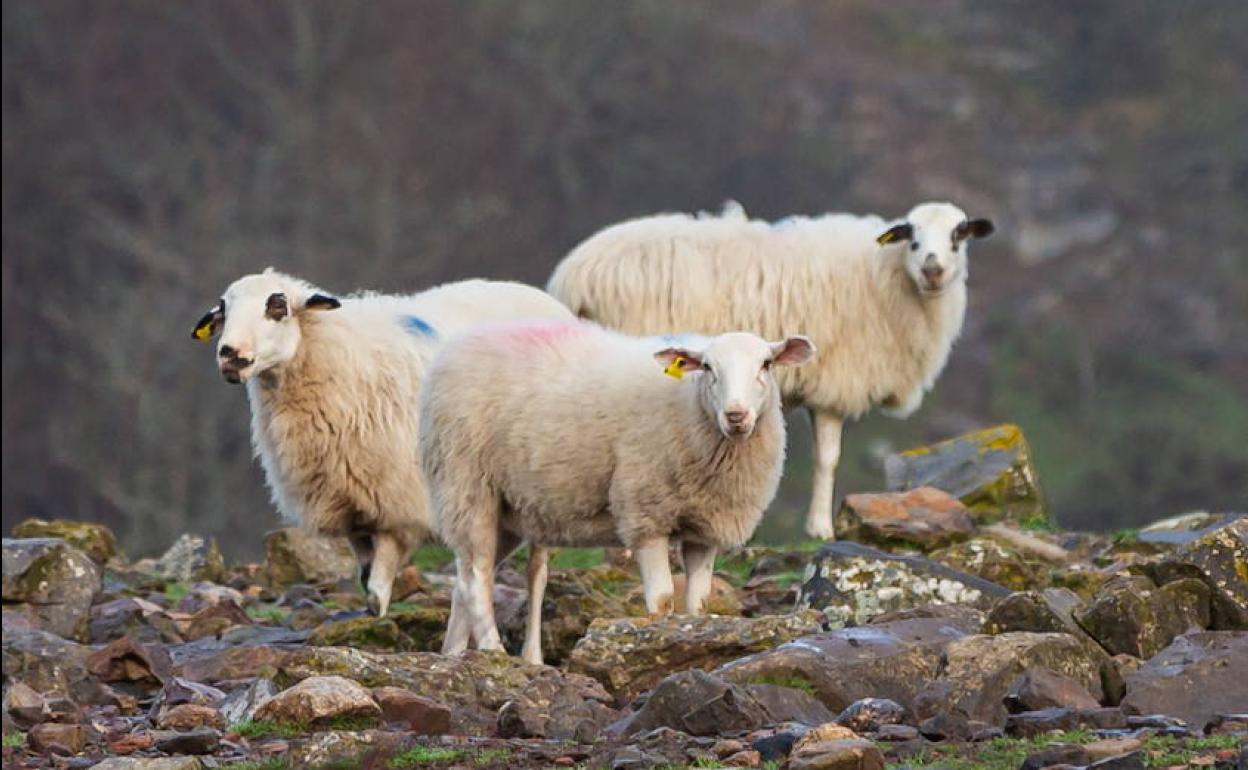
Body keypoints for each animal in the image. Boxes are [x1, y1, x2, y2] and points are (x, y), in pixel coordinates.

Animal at [190, 267, 574, 616]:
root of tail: (545, 298)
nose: (230, 354)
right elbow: (365, 580)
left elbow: (376, 593)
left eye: (277, 306)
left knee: (536, 573)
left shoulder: (397, 506)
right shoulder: (351, 509)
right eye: (223, 310)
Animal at [419, 321, 818, 663]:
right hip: (466, 484)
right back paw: (494, 651)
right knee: (477, 577)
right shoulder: (646, 515)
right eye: (707, 367)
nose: (736, 416)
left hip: (506, 511)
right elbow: (662, 601)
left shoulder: (704, 530)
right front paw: (661, 644)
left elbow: (699, 605)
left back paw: (453, 654)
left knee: (466, 576)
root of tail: (460, 343)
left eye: (766, 364)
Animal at [546, 200, 993, 544]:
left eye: (958, 236)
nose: (933, 269)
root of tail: (575, 273)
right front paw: (821, 529)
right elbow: (827, 458)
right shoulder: (834, 385)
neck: (885, 276)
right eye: (912, 238)